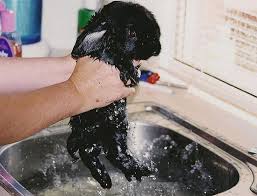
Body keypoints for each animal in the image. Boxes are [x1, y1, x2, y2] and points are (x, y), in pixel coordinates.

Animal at [68, 1, 160, 188]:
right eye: (132, 33)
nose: (156, 49)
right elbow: (112, 52)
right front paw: (129, 70)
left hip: (116, 128)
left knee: (112, 152)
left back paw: (131, 169)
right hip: (91, 129)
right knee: (88, 151)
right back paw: (106, 177)